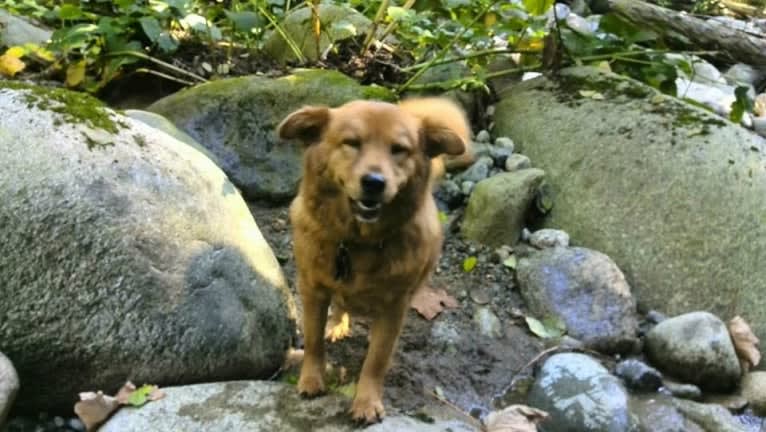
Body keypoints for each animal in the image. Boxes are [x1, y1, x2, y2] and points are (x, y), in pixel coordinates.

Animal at [280, 97, 472, 422]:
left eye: (399, 149)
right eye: (351, 142)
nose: (374, 182)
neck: (358, 242)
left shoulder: (395, 305)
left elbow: (377, 359)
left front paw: (366, 401)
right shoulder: (312, 289)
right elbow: (314, 341)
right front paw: (311, 379)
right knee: (338, 307)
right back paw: (337, 323)